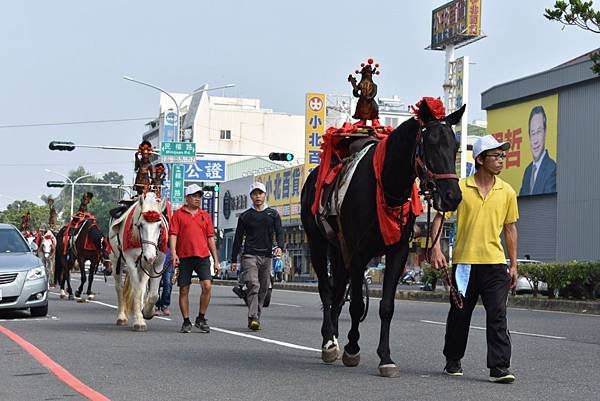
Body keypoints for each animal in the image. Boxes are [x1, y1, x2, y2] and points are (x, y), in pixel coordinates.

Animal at [108, 192, 168, 330]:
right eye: (140, 225)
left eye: (160, 226)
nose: (150, 256)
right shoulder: (130, 261)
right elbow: (137, 289)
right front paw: (139, 321)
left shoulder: (158, 262)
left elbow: (153, 294)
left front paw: (147, 312)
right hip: (115, 259)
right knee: (119, 287)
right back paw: (122, 317)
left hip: (144, 265)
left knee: (143, 285)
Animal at [300, 99, 464, 376]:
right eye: (431, 145)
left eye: (456, 147)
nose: (453, 196)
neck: (386, 185)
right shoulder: (358, 253)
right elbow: (356, 304)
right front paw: (352, 349)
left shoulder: (397, 251)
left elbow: (387, 306)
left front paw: (385, 357)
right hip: (317, 241)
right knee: (326, 289)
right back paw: (330, 341)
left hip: (338, 247)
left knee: (337, 290)